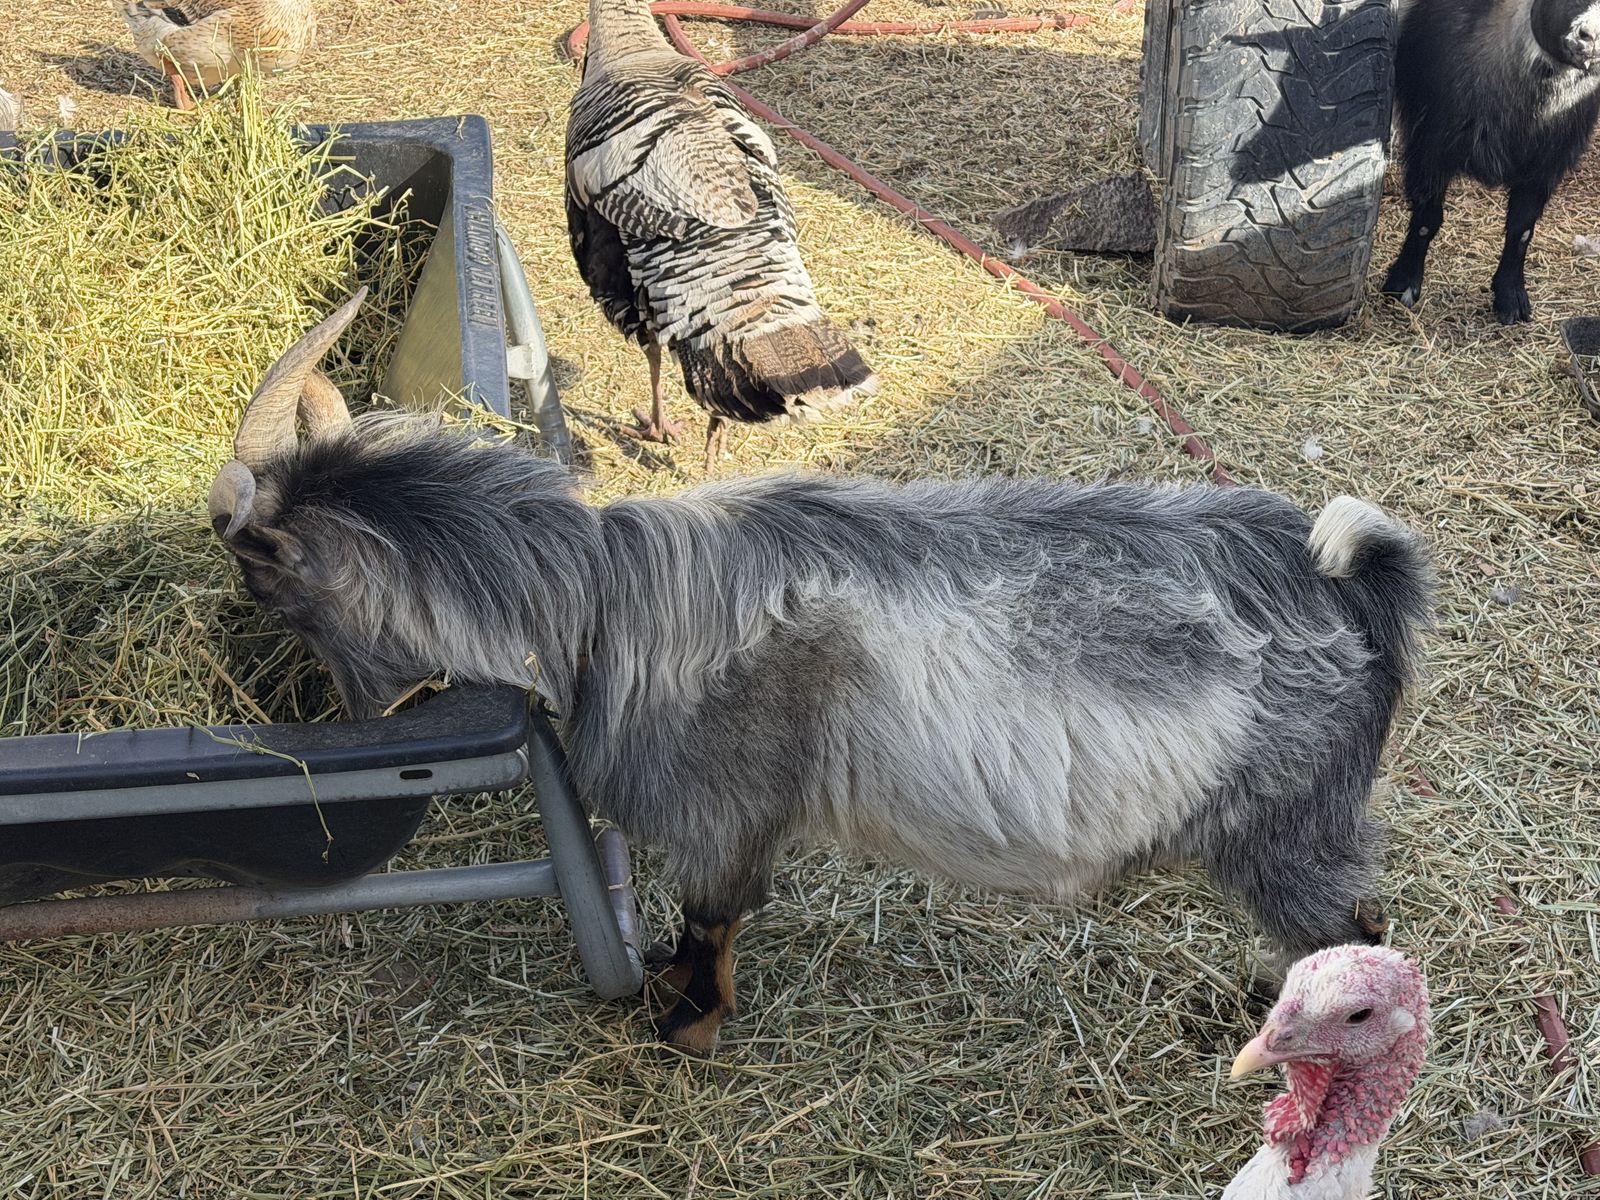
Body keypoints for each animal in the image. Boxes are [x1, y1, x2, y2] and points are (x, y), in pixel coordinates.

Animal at [210, 294, 1435, 1054]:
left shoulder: (727, 807)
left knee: (1356, 932)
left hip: (1287, 826)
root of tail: (1355, 581)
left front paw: (683, 1027)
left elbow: (713, 919)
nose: (341, 714)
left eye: (262, 577)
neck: (603, 597)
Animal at [1381, 0, 1600, 324]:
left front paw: (1510, 296)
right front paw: (1403, 283)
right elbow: (1427, 220)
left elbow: (1522, 230)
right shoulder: (1430, 145)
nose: (1591, 38)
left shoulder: (1544, 167)